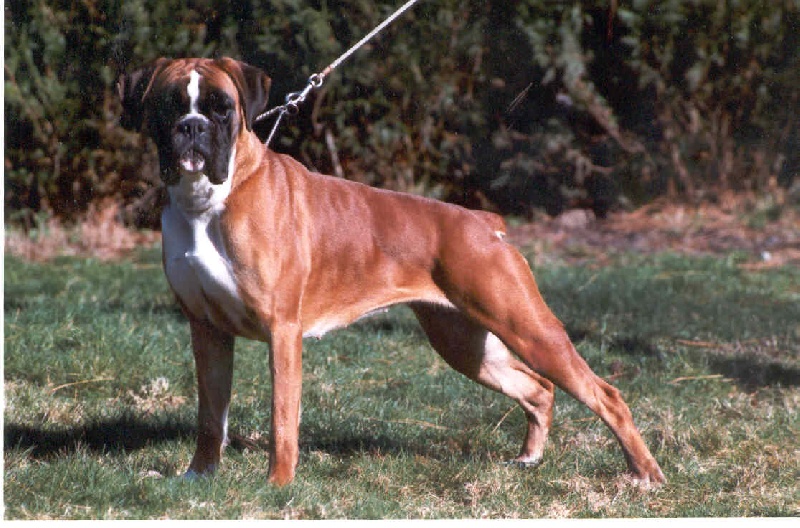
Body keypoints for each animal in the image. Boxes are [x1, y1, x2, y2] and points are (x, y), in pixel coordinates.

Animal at [117, 57, 665, 486]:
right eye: (169, 105)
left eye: (221, 108)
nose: (192, 127)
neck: (209, 201)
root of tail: (482, 222)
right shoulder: (207, 331)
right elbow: (210, 416)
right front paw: (198, 477)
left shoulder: (282, 332)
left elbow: (282, 420)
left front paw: (278, 486)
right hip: (467, 345)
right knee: (538, 388)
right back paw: (529, 459)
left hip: (529, 329)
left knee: (605, 395)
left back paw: (645, 476)